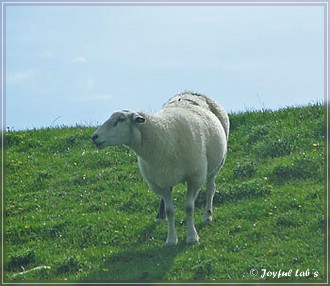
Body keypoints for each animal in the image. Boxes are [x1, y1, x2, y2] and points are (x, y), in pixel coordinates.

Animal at [91, 92, 228, 246]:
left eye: (120, 120)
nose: (94, 137)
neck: (162, 134)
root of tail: (190, 92)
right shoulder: (159, 183)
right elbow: (170, 211)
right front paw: (171, 239)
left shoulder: (195, 178)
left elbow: (189, 207)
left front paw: (192, 237)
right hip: (165, 175)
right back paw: (160, 216)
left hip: (216, 165)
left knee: (211, 188)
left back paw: (207, 216)